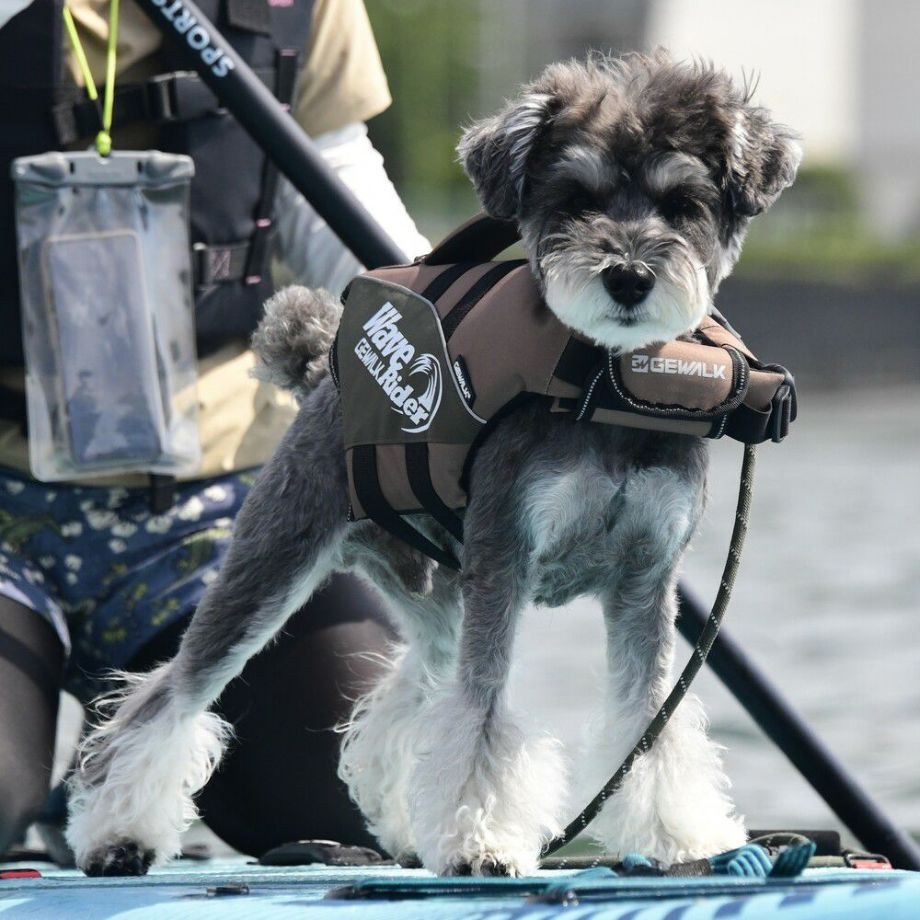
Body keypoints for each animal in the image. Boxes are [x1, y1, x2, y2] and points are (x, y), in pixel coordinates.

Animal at [66, 52, 796, 876]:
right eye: (575, 199)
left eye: (682, 204)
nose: (629, 277)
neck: (605, 387)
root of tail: (320, 370)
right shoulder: (507, 555)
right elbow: (482, 714)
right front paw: (482, 841)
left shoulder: (645, 581)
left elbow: (648, 725)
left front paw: (682, 837)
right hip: (271, 565)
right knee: (174, 693)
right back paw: (118, 832)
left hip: (437, 593)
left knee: (406, 697)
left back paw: (404, 825)